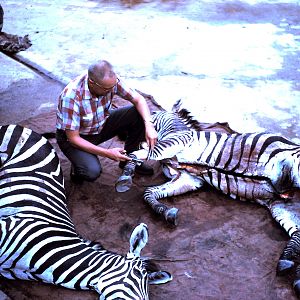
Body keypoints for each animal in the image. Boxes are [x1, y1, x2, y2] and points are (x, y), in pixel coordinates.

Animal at [115, 101, 300, 298]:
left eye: (152, 114)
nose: (121, 134)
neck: (174, 130)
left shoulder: (174, 143)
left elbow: (136, 154)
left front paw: (125, 176)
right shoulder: (189, 178)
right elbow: (149, 192)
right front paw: (166, 212)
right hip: (283, 206)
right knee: (297, 233)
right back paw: (290, 267)